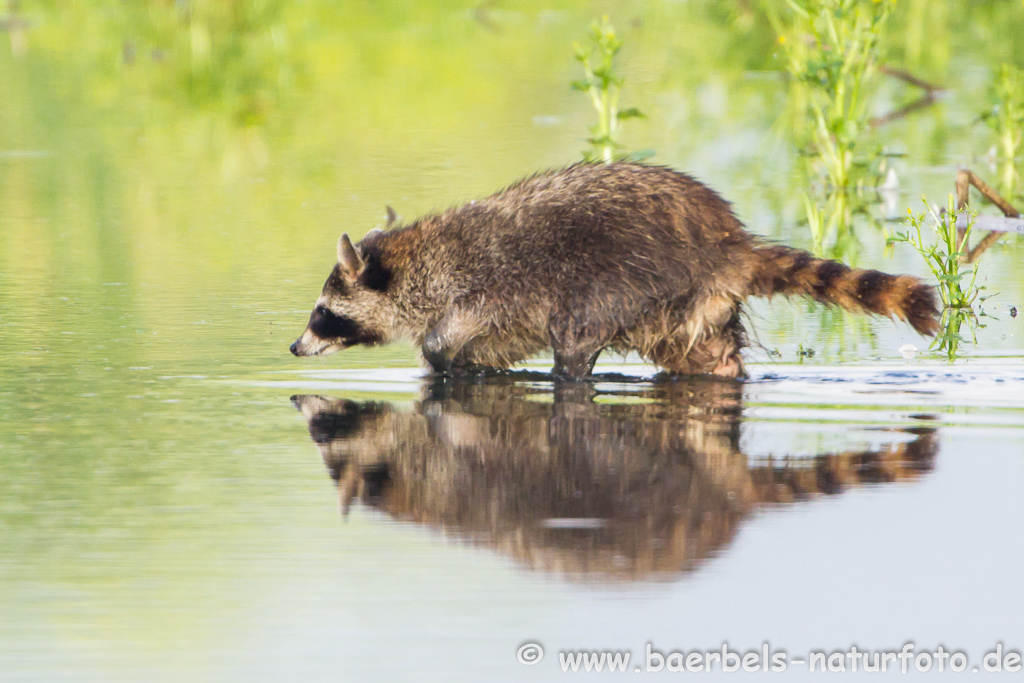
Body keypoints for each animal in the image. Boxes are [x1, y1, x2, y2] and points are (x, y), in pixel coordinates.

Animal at [288, 164, 937, 378]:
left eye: (324, 313)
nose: (295, 347)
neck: (423, 262)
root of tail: (728, 241)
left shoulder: (496, 281)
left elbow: (449, 334)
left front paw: (442, 352)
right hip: (694, 305)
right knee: (711, 358)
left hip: (628, 281)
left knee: (575, 343)